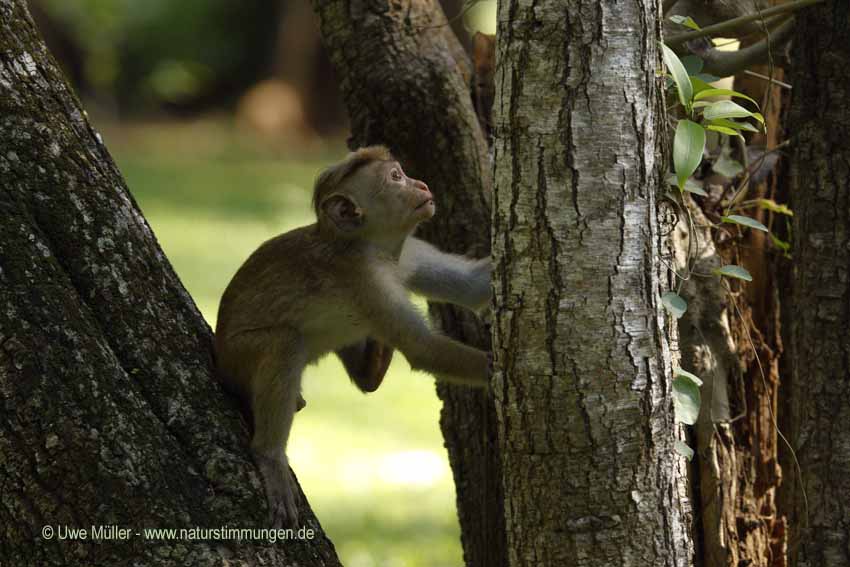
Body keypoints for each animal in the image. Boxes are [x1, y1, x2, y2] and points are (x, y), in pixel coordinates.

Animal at [214, 146, 490, 528]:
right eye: (396, 178)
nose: (421, 184)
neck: (373, 247)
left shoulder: (410, 251)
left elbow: (475, 287)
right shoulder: (365, 281)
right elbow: (422, 349)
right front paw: (504, 372)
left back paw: (371, 366)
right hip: (237, 356)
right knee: (284, 344)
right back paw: (269, 454)